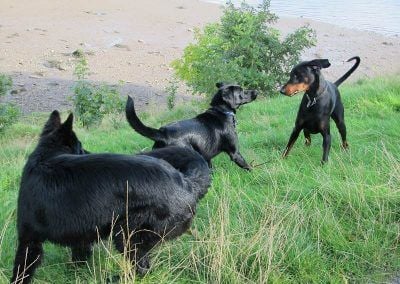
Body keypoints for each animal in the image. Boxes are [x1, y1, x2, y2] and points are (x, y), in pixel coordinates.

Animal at [10, 111, 211, 284]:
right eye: (80, 147)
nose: (89, 153)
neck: (45, 157)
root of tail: (186, 182)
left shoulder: (28, 241)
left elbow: (21, 271)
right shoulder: (80, 239)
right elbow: (79, 260)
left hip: (126, 236)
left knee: (142, 269)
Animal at [125, 83, 258, 170]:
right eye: (242, 91)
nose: (256, 91)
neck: (221, 111)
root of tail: (163, 133)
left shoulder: (207, 156)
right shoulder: (235, 153)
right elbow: (248, 166)